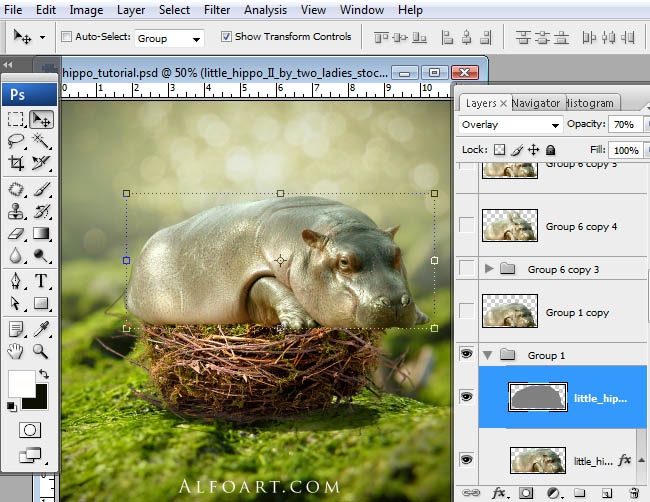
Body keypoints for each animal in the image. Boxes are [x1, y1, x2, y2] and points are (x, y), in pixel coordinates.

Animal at [128, 196, 429, 329]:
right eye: (344, 262)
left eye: (398, 253)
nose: (394, 302)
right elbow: (268, 285)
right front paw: (301, 323)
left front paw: (421, 316)